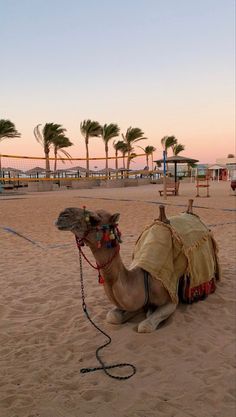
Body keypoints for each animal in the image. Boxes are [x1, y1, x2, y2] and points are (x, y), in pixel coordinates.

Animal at [56, 200, 220, 334]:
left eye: (94, 219)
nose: (62, 215)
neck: (141, 278)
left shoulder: (171, 300)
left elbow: (145, 326)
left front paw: (149, 314)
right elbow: (112, 317)